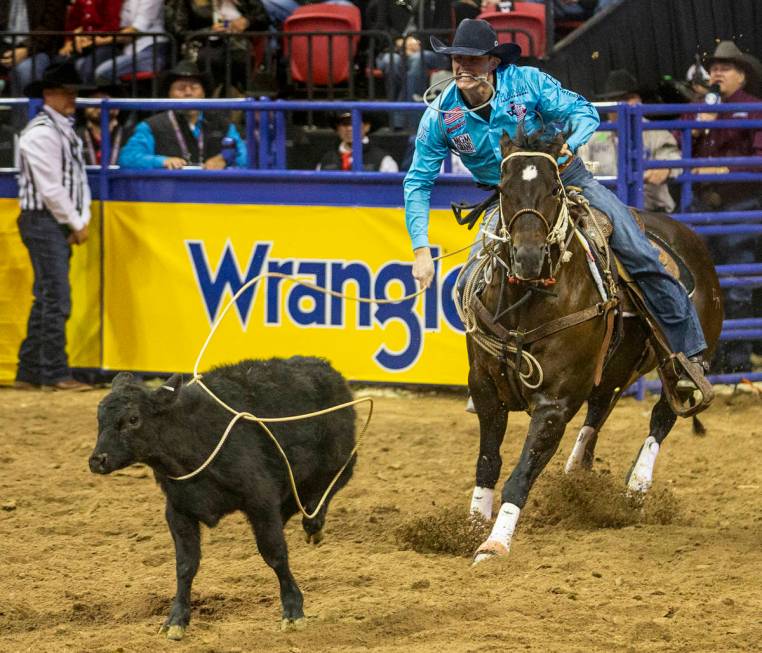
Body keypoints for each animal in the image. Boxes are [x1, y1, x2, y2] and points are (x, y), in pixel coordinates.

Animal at [460, 131, 720, 560]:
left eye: (554, 189)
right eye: (502, 189)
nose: (528, 257)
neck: (528, 303)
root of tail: (689, 237)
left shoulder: (555, 404)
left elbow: (520, 474)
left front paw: (495, 543)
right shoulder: (485, 390)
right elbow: (487, 462)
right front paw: (470, 526)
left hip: (679, 363)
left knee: (663, 415)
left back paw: (636, 488)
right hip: (615, 367)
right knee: (600, 410)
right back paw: (576, 475)